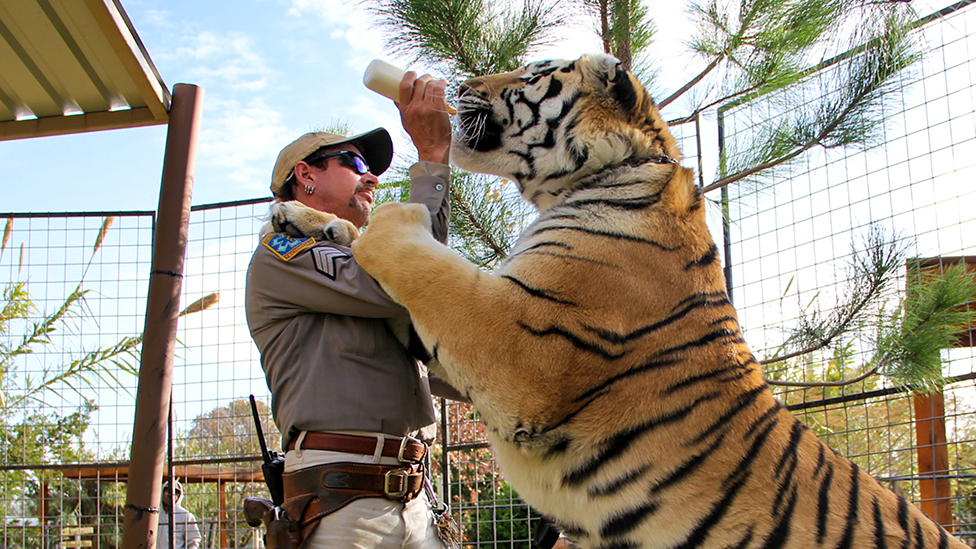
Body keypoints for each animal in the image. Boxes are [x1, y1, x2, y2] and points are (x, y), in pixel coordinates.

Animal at [270, 53, 972, 548]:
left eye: (533, 72)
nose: (461, 83)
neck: (594, 177)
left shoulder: (519, 343)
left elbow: (421, 259)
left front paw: (387, 217)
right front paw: (300, 216)